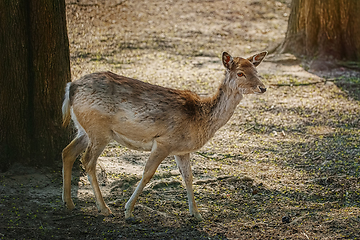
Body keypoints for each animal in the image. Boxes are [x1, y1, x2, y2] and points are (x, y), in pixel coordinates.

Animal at [60, 51, 266, 222]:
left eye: (256, 70)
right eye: (240, 73)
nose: (262, 88)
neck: (201, 119)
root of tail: (71, 87)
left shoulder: (181, 149)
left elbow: (188, 177)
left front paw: (196, 214)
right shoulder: (163, 142)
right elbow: (147, 173)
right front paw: (128, 211)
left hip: (84, 129)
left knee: (67, 152)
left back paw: (68, 202)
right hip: (99, 129)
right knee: (87, 161)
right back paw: (104, 208)